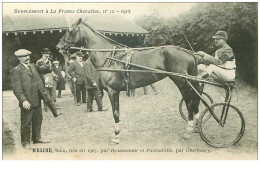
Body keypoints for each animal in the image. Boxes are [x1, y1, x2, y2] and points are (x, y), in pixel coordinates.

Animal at [57, 17, 202, 143]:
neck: (109, 57)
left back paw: (189, 130)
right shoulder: (115, 91)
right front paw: (116, 133)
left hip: (183, 83)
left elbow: (115, 113)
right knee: (195, 102)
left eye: (70, 30)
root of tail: (189, 53)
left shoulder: (112, 91)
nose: (58, 46)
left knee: (190, 103)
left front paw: (116, 136)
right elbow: (117, 112)